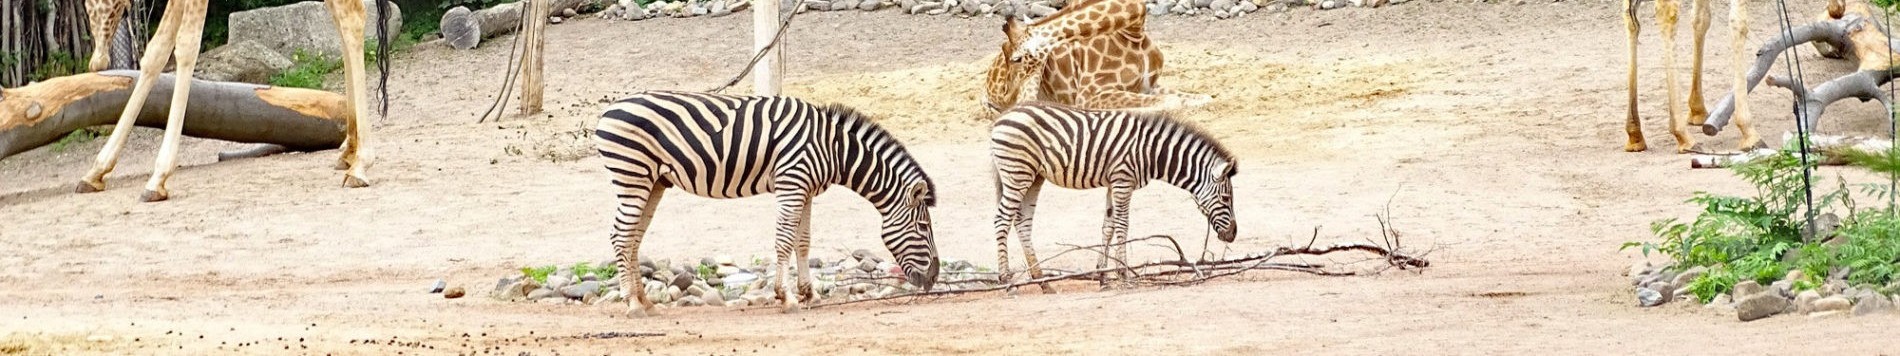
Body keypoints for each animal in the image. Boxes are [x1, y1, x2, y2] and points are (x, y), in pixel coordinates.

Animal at [79, 0, 391, 201]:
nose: (97, 61)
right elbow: (157, 51)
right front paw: (95, 172)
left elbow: (186, 46)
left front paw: (158, 178)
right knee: (341, 17)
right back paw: (348, 151)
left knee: (352, 14)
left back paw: (359, 165)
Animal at [592, 89, 942, 314]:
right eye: (923, 226)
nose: (934, 278)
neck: (833, 148)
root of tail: (609, 110)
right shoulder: (792, 182)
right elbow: (784, 240)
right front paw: (786, 297)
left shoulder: (807, 190)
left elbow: (803, 241)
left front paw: (809, 294)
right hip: (633, 176)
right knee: (621, 235)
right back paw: (632, 304)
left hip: (653, 182)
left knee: (634, 237)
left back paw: (646, 302)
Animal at [988, 0, 1208, 114]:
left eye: (1016, 59)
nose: (1006, 92)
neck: (1134, 31)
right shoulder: (1089, 95)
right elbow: (1170, 101)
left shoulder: (1148, 85)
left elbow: (1200, 97)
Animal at [988, 101, 1238, 291]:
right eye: (1226, 199)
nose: (1233, 235)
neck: (1150, 152)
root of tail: (1003, 116)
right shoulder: (1123, 181)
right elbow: (1123, 225)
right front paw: (1124, 274)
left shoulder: (1113, 184)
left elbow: (1107, 226)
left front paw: (1103, 276)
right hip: (1017, 172)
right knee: (1002, 220)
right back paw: (1007, 281)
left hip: (1033, 177)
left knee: (1022, 223)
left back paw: (1042, 282)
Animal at [1626, 0, 1755, 152]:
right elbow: (1738, 23)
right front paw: (1748, 132)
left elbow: (1701, 18)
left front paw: (1697, 111)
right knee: (1667, 13)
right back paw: (1683, 135)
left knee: (1631, 20)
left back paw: (1635, 135)